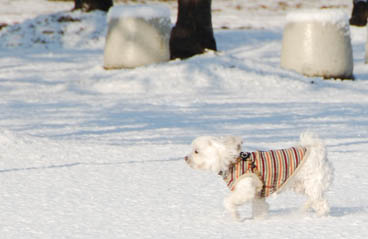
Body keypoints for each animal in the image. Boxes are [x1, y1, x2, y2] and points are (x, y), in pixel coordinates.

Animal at [184, 133, 334, 220]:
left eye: (196, 151)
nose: (185, 158)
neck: (231, 161)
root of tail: (317, 150)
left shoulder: (245, 189)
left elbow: (227, 201)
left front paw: (236, 216)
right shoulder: (258, 194)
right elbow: (259, 208)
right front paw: (259, 221)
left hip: (312, 182)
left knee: (321, 203)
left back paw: (319, 217)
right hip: (301, 185)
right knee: (314, 199)